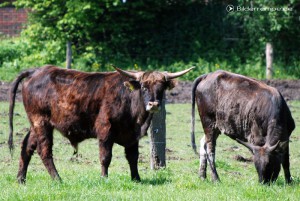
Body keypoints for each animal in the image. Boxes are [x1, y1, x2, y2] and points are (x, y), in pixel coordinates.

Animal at [9, 65, 193, 184]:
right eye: (144, 87)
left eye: (161, 88)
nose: (154, 104)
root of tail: (36, 71)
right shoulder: (105, 130)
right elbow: (105, 157)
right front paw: (104, 178)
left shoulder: (133, 136)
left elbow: (133, 157)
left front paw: (136, 178)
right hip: (42, 122)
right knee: (44, 150)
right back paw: (57, 179)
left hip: (35, 124)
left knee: (27, 147)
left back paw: (20, 179)